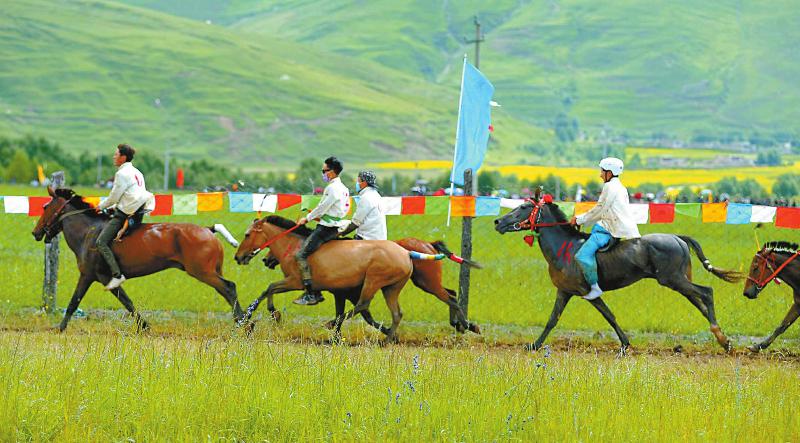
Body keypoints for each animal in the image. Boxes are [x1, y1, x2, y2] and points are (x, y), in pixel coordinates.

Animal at [32, 186, 244, 332]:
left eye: (45, 206)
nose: (35, 232)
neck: (87, 232)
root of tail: (208, 229)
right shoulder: (101, 279)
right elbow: (127, 302)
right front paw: (144, 326)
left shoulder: (91, 276)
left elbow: (75, 302)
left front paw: (60, 328)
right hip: (210, 272)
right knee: (226, 290)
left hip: (203, 272)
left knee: (229, 287)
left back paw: (243, 324)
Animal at [260, 238, 482, 334]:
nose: (266, 259)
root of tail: (427, 244)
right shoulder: (342, 292)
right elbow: (358, 313)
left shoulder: (345, 292)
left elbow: (357, 311)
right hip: (422, 282)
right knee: (451, 294)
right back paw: (462, 325)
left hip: (424, 282)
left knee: (450, 297)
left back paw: (466, 325)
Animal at [494, 192, 744, 354]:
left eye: (523, 208)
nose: (498, 221)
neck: (565, 247)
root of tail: (677, 237)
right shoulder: (564, 291)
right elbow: (552, 319)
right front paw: (535, 345)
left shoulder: (587, 292)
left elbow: (608, 315)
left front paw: (624, 344)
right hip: (678, 281)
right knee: (700, 302)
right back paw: (724, 340)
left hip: (673, 280)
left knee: (707, 292)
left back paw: (721, 336)